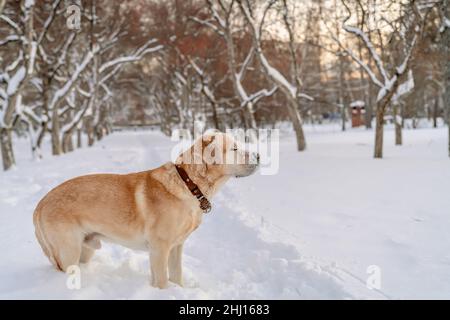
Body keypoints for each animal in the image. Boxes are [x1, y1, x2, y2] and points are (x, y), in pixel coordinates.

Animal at [33, 130, 258, 288]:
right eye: (234, 149)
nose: (258, 156)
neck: (189, 184)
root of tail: (40, 204)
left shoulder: (175, 247)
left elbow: (175, 276)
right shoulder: (160, 247)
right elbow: (163, 281)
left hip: (86, 249)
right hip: (69, 251)